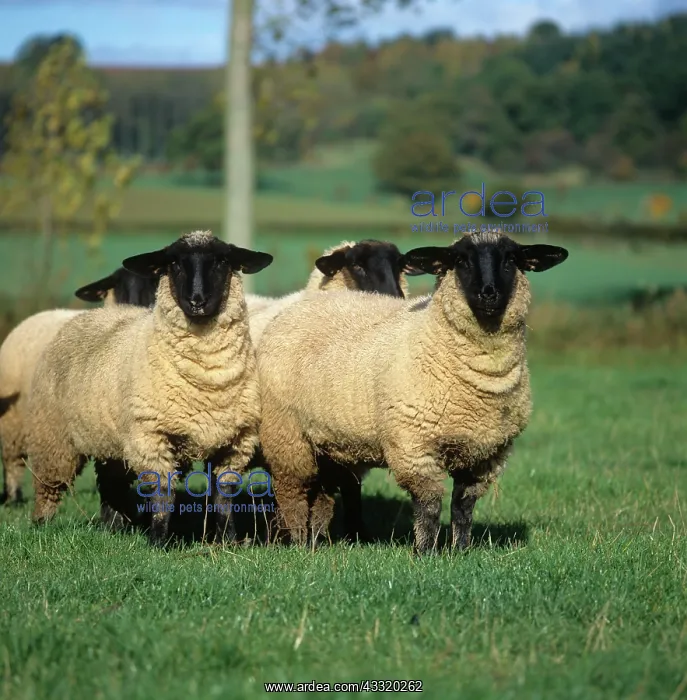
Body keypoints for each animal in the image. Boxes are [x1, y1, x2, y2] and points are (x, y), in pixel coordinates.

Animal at [26, 231, 272, 546]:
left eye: (222, 261)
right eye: (174, 264)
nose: (197, 301)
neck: (207, 380)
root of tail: (88, 316)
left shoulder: (237, 440)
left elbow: (223, 496)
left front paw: (228, 540)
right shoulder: (150, 435)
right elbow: (162, 493)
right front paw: (158, 542)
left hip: (110, 439)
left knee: (111, 482)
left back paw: (113, 526)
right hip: (53, 436)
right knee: (49, 484)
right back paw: (41, 525)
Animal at [255, 232, 569, 552]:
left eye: (511, 260)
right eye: (460, 260)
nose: (489, 293)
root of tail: (297, 308)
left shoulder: (486, 454)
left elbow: (463, 506)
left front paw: (461, 549)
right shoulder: (413, 444)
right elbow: (429, 504)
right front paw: (425, 551)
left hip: (328, 442)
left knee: (321, 496)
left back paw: (317, 542)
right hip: (287, 436)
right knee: (292, 493)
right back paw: (298, 543)